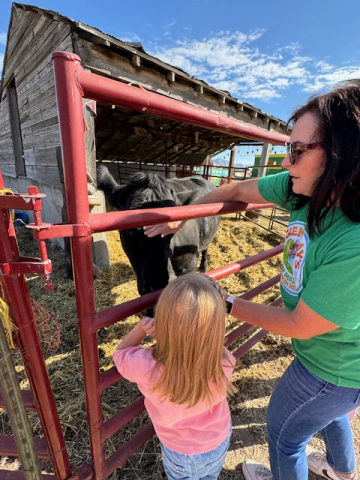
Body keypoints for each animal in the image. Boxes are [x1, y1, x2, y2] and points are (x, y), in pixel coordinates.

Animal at [96, 165, 219, 302]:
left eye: (172, 232)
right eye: (129, 231)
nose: (158, 284)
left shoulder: (188, 266)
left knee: (205, 249)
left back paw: (203, 267)